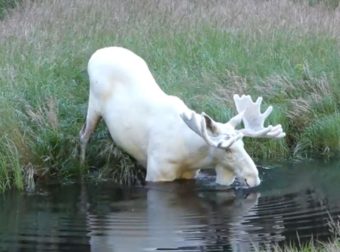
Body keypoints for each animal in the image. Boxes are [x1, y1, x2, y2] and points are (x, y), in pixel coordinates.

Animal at [79, 47, 284, 188]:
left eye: (242, 144)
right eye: (228, 150)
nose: (254, 178)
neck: (192, 155)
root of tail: (95, 54)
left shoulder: (190, 174)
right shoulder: (156, 173)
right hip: (93, 106)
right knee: (83, 136)